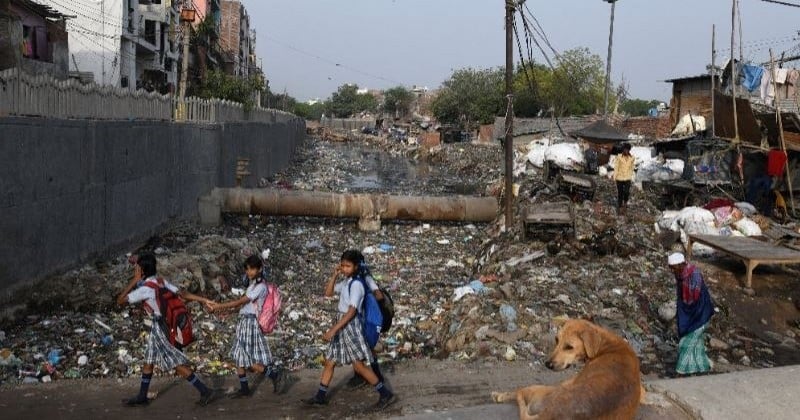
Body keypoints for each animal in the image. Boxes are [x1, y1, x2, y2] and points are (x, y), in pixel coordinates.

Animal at [490, 320, 648, 418]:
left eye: (569, 347)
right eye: (556, 340)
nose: (547, 364)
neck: (605, 344)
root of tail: (550, 414)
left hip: (542, 389)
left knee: (519, 391)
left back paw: (499, 395)